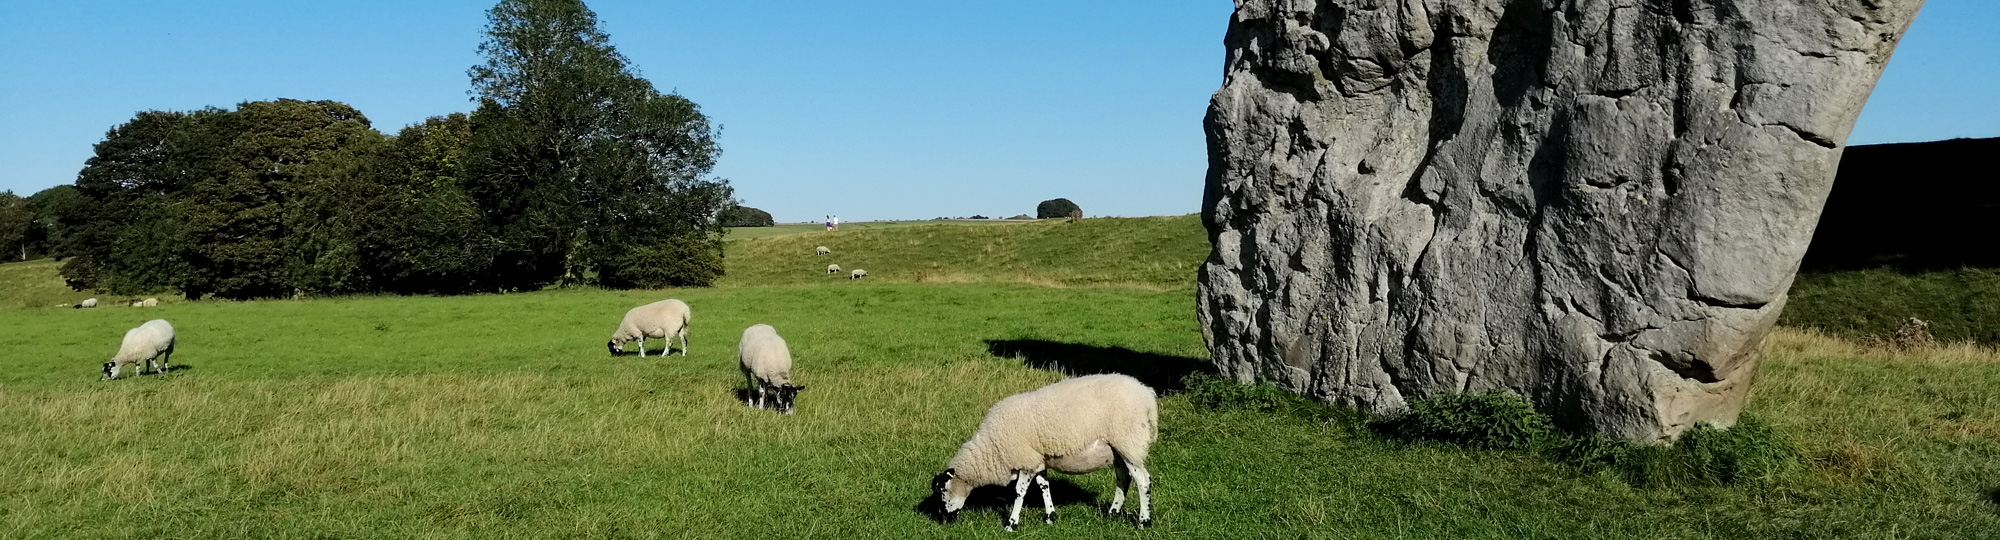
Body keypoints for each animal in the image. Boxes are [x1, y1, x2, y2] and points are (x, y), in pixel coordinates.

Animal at [932, 374, 1168, 528]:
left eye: (943, 491)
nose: (943, 521)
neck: (992, 448)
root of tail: (1148, 395)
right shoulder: (1038, 461)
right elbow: (1044, 486)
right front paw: (1050, 517)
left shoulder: (1025, 460)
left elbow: (1019, 493)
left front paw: (1011, 523)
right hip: (1117, 449)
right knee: (1123, 479)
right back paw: (1112, 513)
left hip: (1129, 443)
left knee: (1143, 481)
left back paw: (1144, 521)